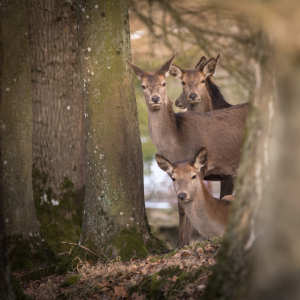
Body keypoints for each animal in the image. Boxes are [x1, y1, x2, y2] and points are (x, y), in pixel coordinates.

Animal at [125, 54, 247, 246]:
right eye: (143, 85)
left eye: (164, 83)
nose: (155, 99)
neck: (177, 142)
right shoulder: (173, 172)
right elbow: (181, 208)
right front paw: (179, 244)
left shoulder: (202, 168)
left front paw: (187, 243)